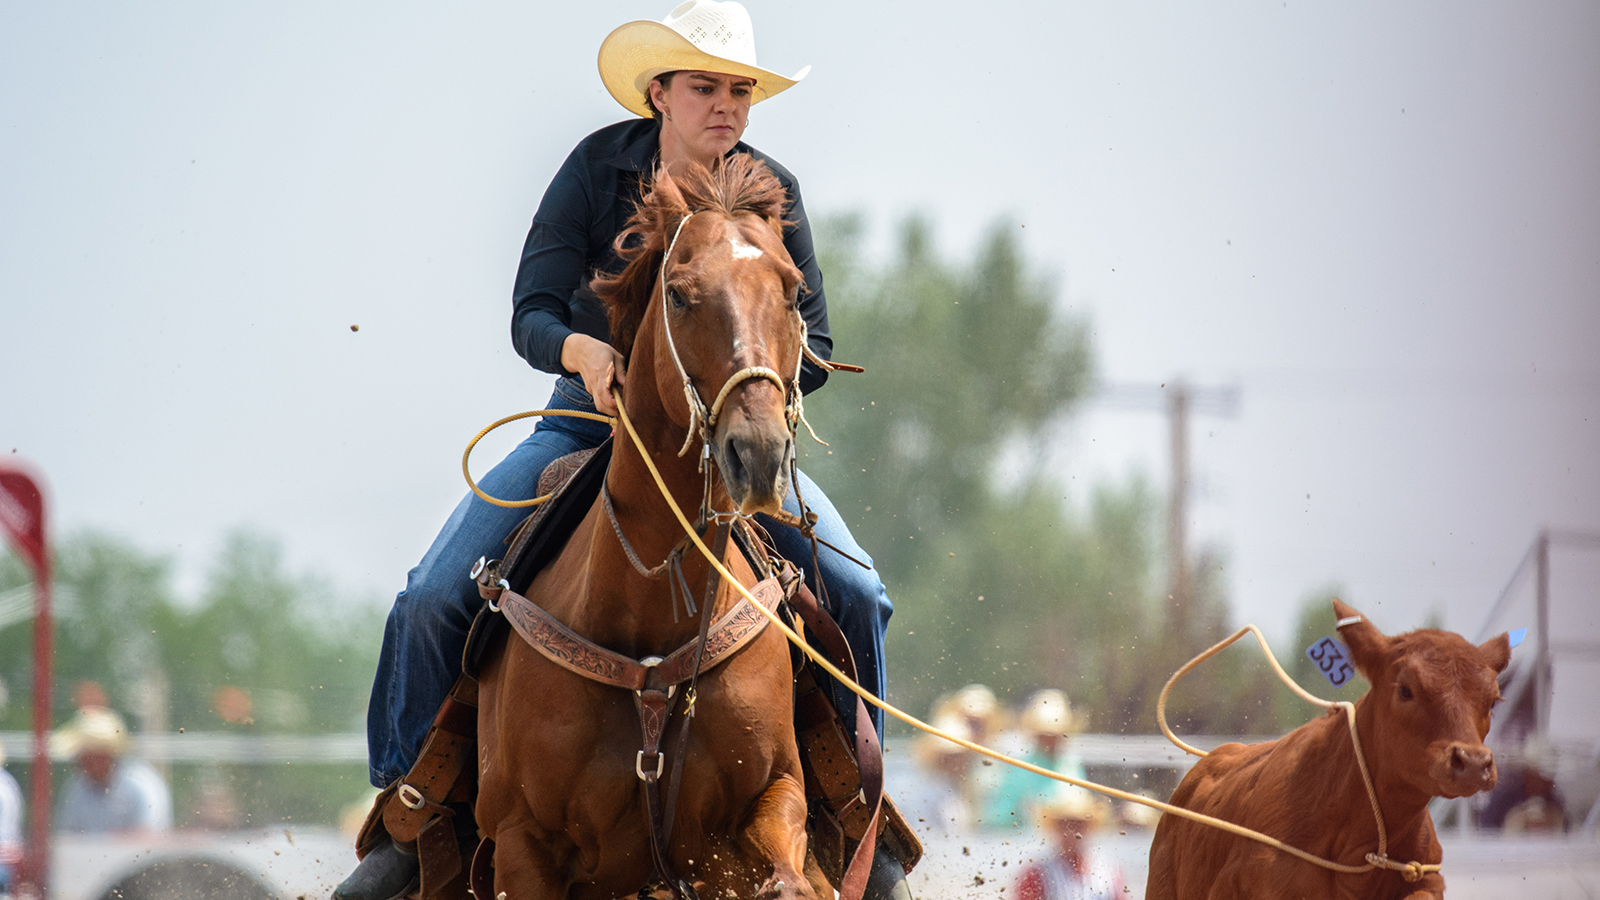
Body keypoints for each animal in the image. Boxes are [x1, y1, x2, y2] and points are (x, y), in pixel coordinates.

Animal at [473, 156, 825, 896]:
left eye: (792, 291)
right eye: (680, 296)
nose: (758, 454)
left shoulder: (773, 796)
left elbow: (788, 876)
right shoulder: (520, 841)